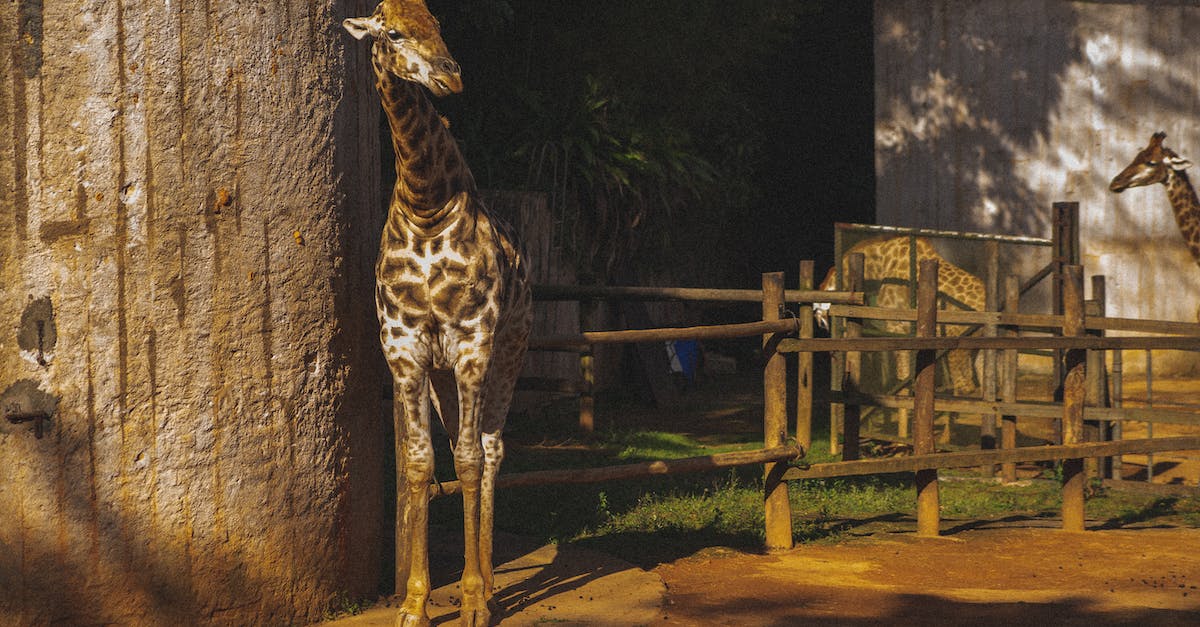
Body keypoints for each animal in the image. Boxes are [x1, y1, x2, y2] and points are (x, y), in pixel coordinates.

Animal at [344, 3, 532, 625]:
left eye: (439, 23)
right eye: (393, 32)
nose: (451, 74)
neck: (426, 206)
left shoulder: (473, 340)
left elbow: (470, 461)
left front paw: (471, 600)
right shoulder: (403, 349)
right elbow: (422, 465)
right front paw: (415, 604)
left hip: (508, 353)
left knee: (491, 450)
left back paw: (491, 586)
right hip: (444, 375)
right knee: (461, 450)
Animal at [814, 236, 986, 396]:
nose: (821, 324)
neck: (880, 265)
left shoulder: (896, 326)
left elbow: (902, 377)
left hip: (958, 347)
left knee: (965, 387)